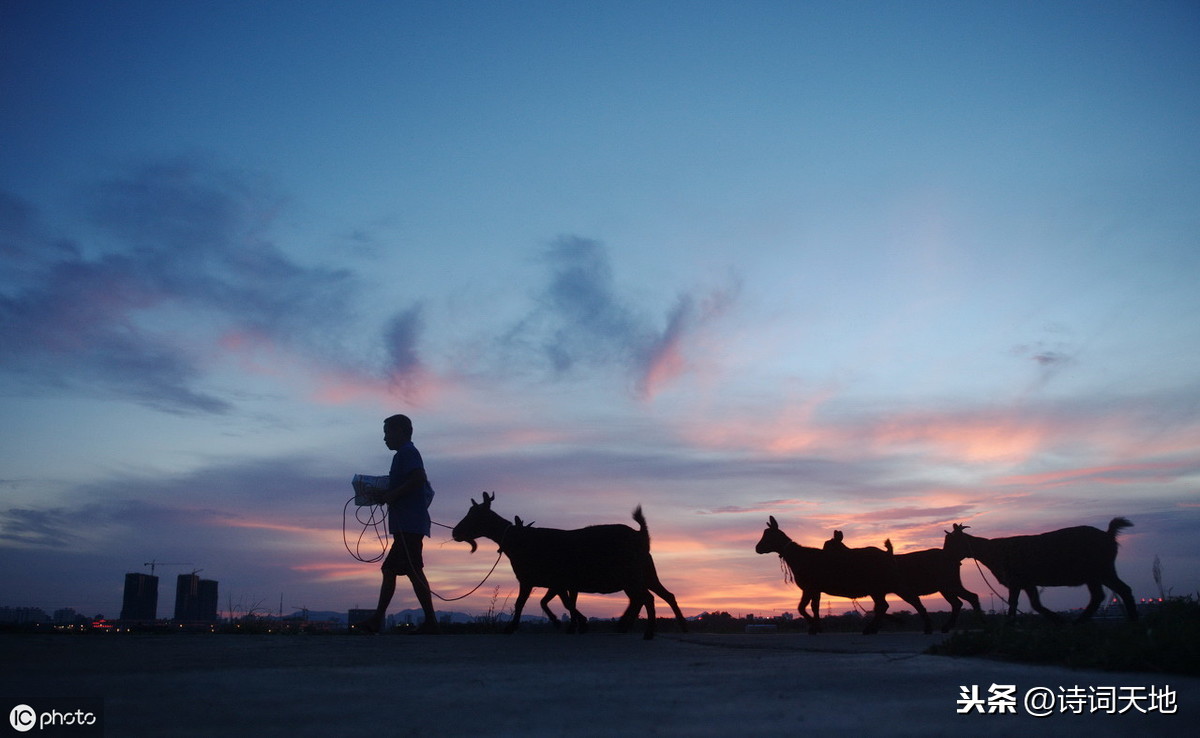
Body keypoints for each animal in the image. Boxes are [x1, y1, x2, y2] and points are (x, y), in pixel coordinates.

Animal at [451, 494, 691, 638]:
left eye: (474, 515)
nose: (455, 532)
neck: (518, 540)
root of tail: (641, 534)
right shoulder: (559, 582)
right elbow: (562, 603)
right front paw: (573, 624)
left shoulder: (532, 579)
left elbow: (523, 603)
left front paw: (511, 627)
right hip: (644, 574)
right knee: (660, 595)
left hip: (632, 575)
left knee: (646, 598)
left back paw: (647, 631)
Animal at [945, 516, 1132, 628]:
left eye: (952, 541)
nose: (945, 555)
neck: (993, 551)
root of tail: (1109, 534)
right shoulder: (1023, 583)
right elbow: (1028, 603)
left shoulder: (1018, 581)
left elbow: (1022, 603)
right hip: (1101, 573)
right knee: (1116, 591)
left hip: (1098, 571)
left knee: (1107, 594)